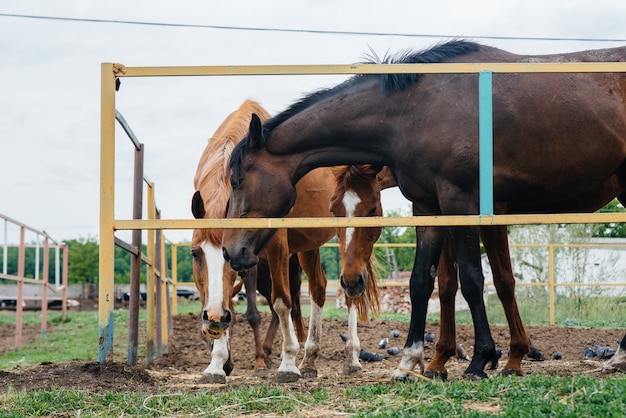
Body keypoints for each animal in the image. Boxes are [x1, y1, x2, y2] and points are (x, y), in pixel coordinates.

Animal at [189, 100, 376, 382]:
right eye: (194, 254)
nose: (213, 320)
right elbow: (225, 301)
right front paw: (216, 364)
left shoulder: (272, 247)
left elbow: (278, 302)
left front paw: (285, 363)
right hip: (308, 247)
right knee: (318, 287)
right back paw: (309, 358)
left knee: (348, 291)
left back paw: (350, 357)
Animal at [223, 40, 624, 380]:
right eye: (334, 208)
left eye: (238, 180)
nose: (231, 250)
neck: (414, 112)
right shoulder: (428, 206)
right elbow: (423, 282)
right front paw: (412, 361)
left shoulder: (462, 203)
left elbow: (474, 279)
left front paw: (480, 360)